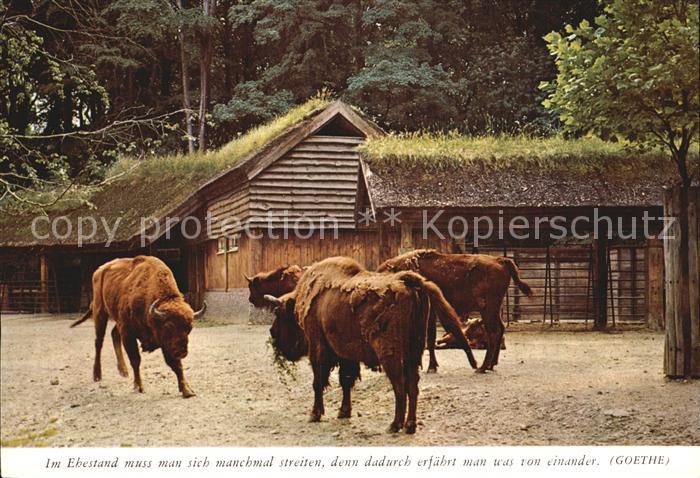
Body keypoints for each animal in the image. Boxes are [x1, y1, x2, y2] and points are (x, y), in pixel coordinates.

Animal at [71, 256, 205, 398]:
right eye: (169, 326)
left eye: (189, 328)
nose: (182, 352)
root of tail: (99, 270)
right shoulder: (128, 333)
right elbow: (135, 360)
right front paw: (139, 386)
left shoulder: (165, 344)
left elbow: (176, 364)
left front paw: (187, 390)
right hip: (100, 312)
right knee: (99, 342)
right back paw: (97, 375)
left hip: (117, 321)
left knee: (114, 334)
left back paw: (123, 371)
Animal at [266, 256, 475, 434]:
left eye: (280, 315)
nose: (272, 333)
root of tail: (407, 282)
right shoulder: (346, 355)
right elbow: (345, 381)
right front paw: (344, 412)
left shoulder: (317, 349)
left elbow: (318, 383)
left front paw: (315, 414)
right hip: (413, 351)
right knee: (412, 385)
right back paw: (410, 425)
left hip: (389, 354)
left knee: (400, 386)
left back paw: (394, 425)